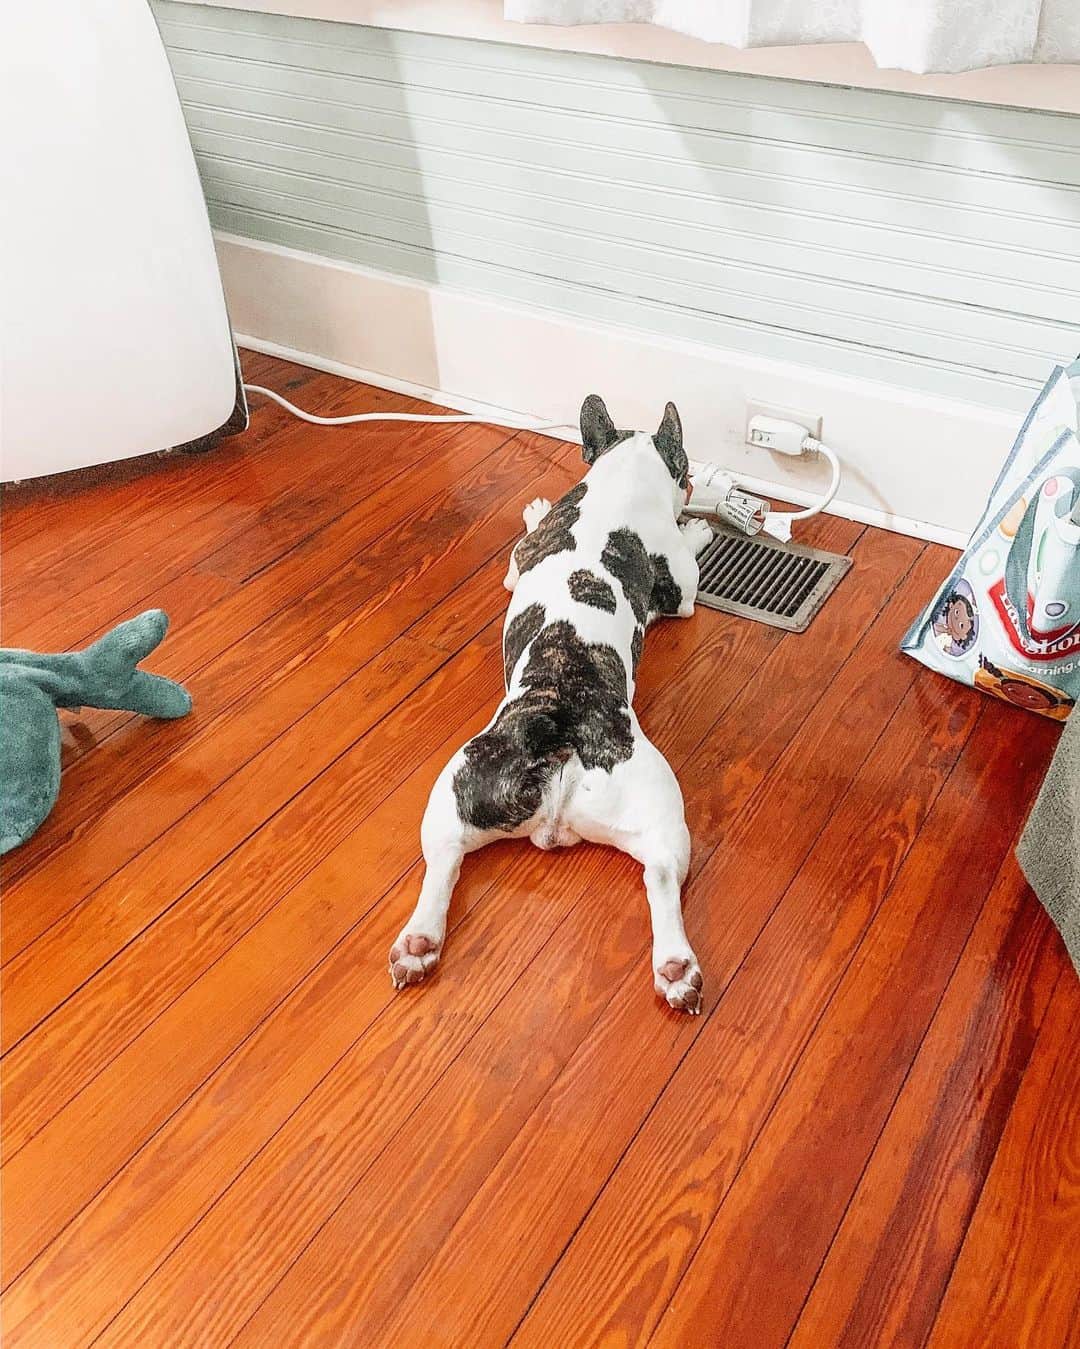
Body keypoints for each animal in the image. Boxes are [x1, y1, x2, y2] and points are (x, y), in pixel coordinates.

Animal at [391, 393, 717, 1009]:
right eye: (685, 467)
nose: (689, 488)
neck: (621, 477)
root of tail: (559, 730)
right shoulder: (682, 593)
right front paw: (698, 531)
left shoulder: (523, 558)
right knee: (661, 877)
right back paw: (675, 966)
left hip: (461, 785)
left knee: (444, 862)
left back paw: (420, 939)